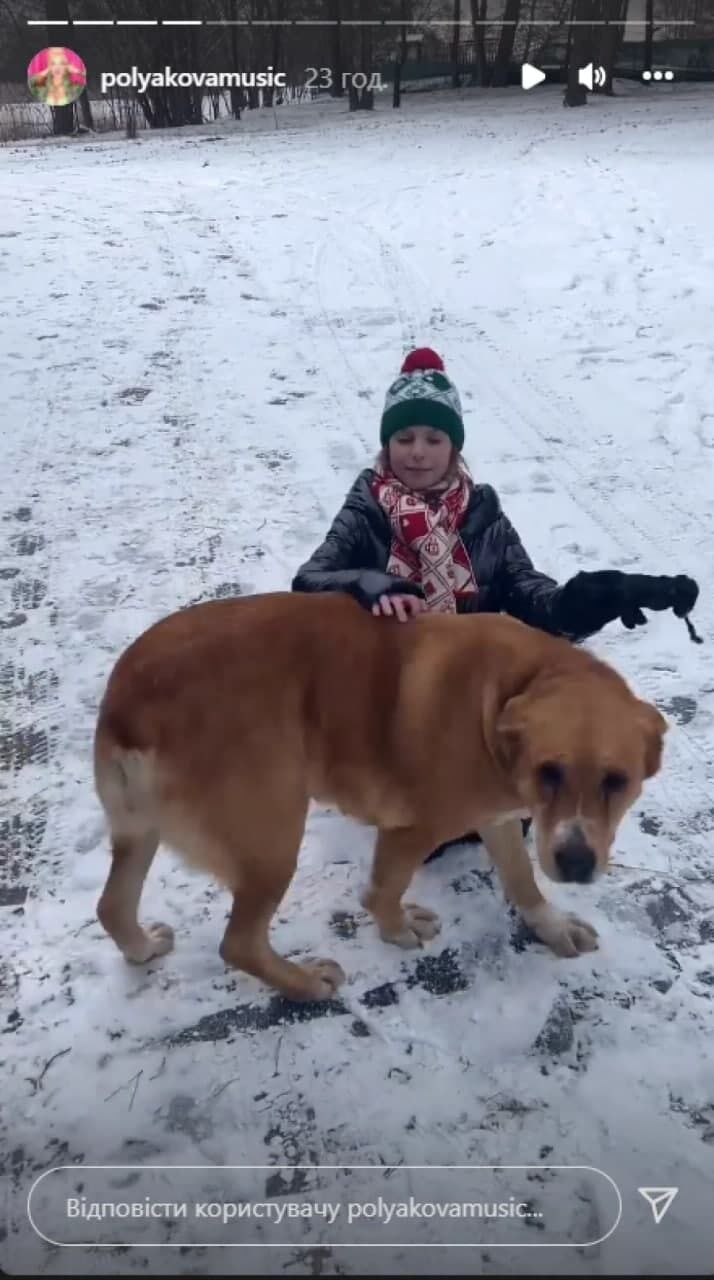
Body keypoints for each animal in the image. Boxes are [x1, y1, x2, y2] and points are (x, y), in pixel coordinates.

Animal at [92, 588, 670, 998]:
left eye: (616, 781)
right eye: (550, 771)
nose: (576, 862)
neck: (509, 691)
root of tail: (128, 703)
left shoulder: (500, 816)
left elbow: (522, 878)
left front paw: (550, 926)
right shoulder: (414, 827)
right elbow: (383, 891)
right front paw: (396, 930)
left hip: (138, 831)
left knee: (112, 907)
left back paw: (142, 949)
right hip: (274, 838)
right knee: (239, 944)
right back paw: (306, 984)